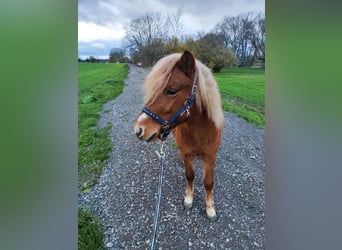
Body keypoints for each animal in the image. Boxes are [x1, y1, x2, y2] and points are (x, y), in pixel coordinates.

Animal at [134, 50, 224, 221]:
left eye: (172, 91)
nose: (139, 129)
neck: (201, 132)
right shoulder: (187, 154)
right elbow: (190, 175)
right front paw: (188, 199)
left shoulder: (210, 157)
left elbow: (208, 182)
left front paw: (210, 208)